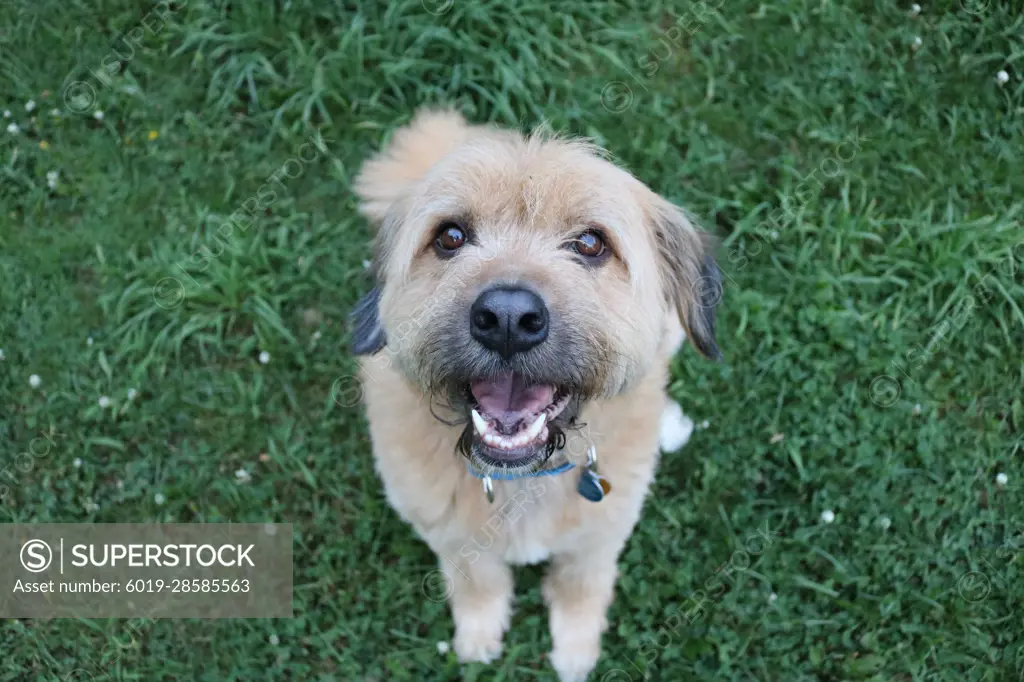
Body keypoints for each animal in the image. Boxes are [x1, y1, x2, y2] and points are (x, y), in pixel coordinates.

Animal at [352, 109, 720, 675]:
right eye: (450, 236)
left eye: (590, 243)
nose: (507, 319)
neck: (522, 479)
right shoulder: (449, 534)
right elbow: (476, 581)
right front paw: (479, 637)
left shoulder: (600, 536)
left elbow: (581, 585)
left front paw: (576, 651)